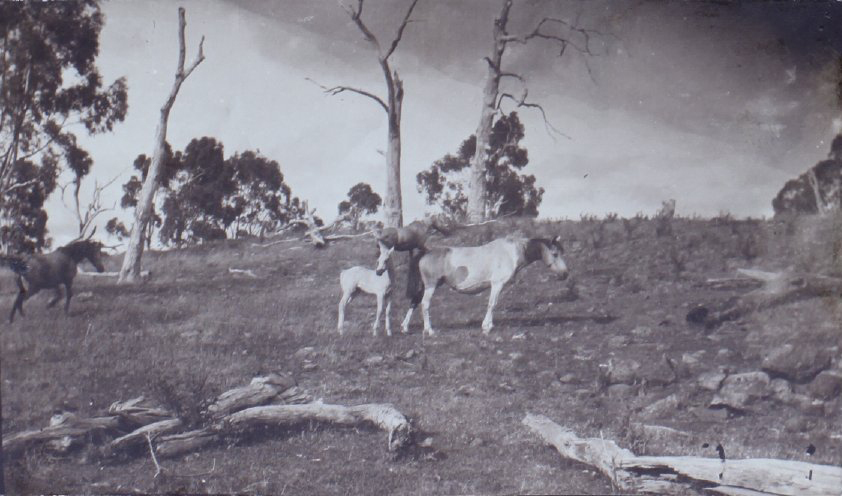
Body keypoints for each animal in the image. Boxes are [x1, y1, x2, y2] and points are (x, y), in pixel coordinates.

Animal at [398, 235, 569, 336]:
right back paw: (429, 330)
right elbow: (492, 304)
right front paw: (487, 327)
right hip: (431, 286)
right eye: (555, 254)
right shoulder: (497, 284)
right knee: (424, 304)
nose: (565, 274)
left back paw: (405, 327)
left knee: (414, 302)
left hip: (427, 286)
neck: (511, 252)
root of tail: (426, 252)